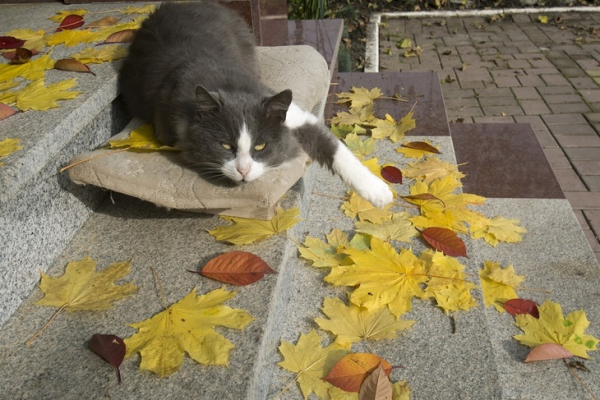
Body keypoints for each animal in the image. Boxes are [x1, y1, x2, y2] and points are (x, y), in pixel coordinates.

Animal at [120, 3, 394, 208]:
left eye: (260, 146)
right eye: (226, 146)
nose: (243, 170)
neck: (226, 83)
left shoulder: (288, 111)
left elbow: (334, 146)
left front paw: (379, 192)